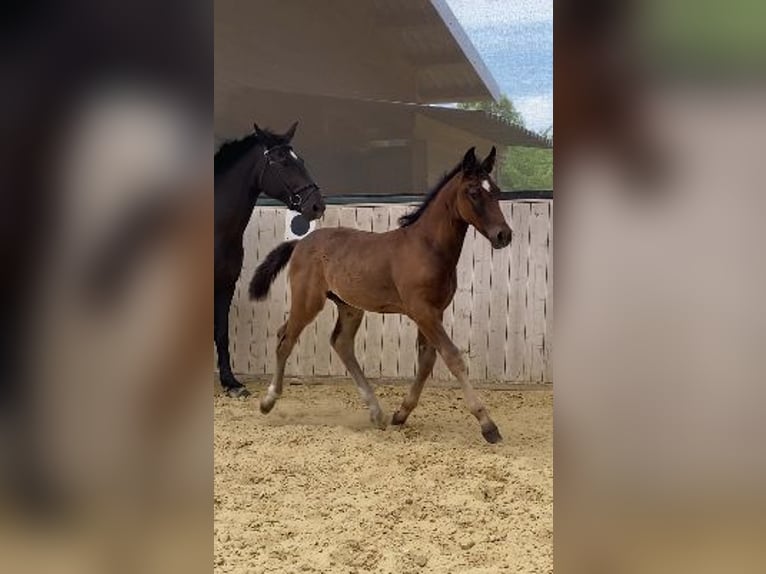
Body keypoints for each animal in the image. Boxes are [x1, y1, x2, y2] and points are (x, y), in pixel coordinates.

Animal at [252, 148, 516, 446]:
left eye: (496, 191)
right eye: (473, 192)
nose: (503, 235)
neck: (428, 247)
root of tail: (299, 243)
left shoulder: (434, 311)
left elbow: (426, 361)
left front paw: (401, 414)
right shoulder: (422, 310)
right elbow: (452, 357)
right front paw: (488, 425)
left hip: (349, 306)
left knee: (341, 343)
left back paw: (376, 412)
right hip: (308, 301)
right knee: (285, 339)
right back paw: (268, 401)